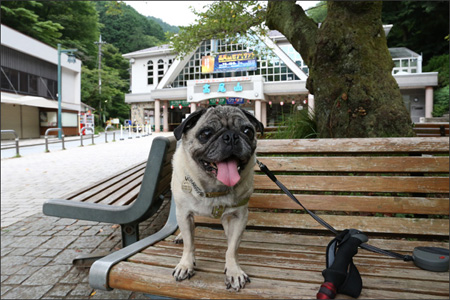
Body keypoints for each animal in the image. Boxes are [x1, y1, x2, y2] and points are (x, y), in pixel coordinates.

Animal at [171, 105, 264, 290]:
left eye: (247, 131)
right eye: (206, 133)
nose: (231, 136)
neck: (214, 189)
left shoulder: (239, 216)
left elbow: (232, 248)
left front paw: (234, 271)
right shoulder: (184, 213)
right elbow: (189, 243)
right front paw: (186, 264)